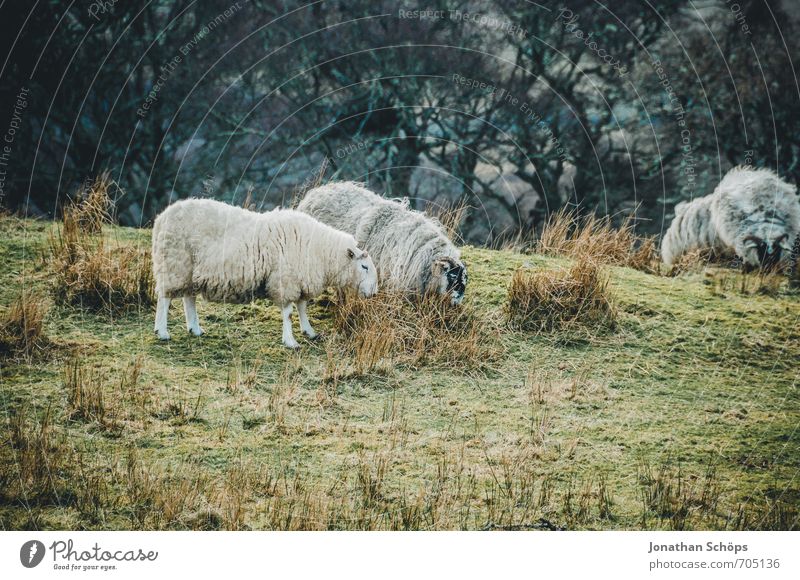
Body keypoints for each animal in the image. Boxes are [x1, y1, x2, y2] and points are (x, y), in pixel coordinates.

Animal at [152, 199, 378, 346]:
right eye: (364, 267)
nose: (374, 292)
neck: (321, 250)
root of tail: (161, 218)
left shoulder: (299, 280)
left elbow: (302, 307)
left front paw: (309, 331)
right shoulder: (285, 280)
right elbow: (288, 313)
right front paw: (290, 341)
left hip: (189, 270)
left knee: (188, 298)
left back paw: (195, 329)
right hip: (174, 264)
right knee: (164, 298)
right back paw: (162, 332)